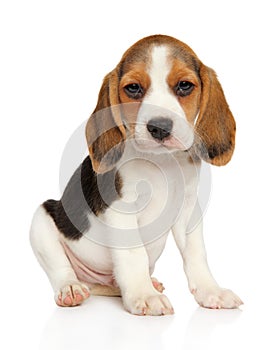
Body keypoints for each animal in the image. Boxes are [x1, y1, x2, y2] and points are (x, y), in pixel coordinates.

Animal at [30, 34, 243, 314]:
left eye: (184, 86)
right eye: (133, 88)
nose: (159, 128)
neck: (162, 162)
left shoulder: (188, 207)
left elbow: (196, 253)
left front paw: (211, 291)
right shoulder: (121, 208)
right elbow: (134, 254)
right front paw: (145, 296)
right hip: (42, 220)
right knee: (61, 270)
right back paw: (72, 289)